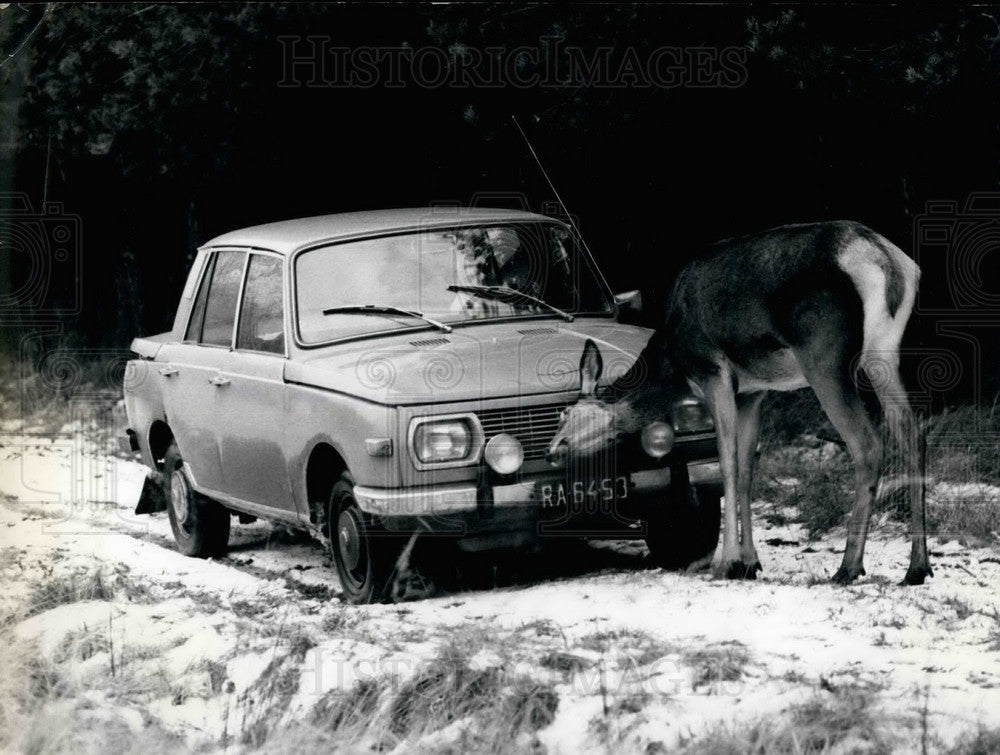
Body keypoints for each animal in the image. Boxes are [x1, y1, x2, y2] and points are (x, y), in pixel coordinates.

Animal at [548, 219, 928, 584]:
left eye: (567, 414)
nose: (553, 450)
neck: (671, 363)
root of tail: (887, 261)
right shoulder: (752, 392)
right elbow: (747, 470)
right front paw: (749, 562)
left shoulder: (713, 371)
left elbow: (727, 464)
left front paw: (727, 563)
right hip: (883, 353)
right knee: (912, 432)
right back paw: (917, 568)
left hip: (824, 357)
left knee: (868, 443)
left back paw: (849, 566)